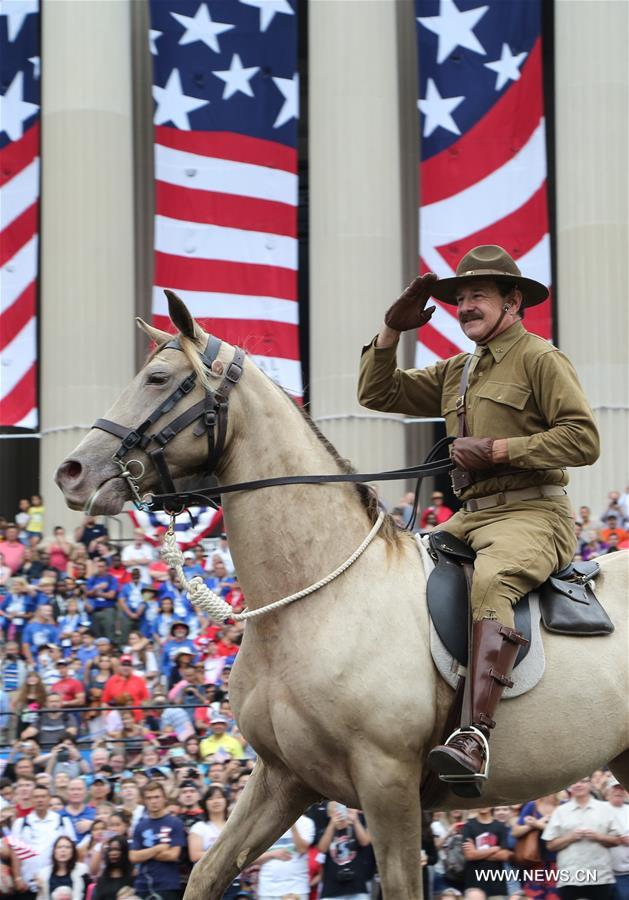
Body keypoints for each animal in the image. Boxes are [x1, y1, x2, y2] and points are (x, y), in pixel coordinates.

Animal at [56, 296, 624, 900]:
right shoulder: (283, 779)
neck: (311, 602)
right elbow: (206, 872)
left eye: (159, 378)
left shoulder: (387, 781)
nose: (71, 472)